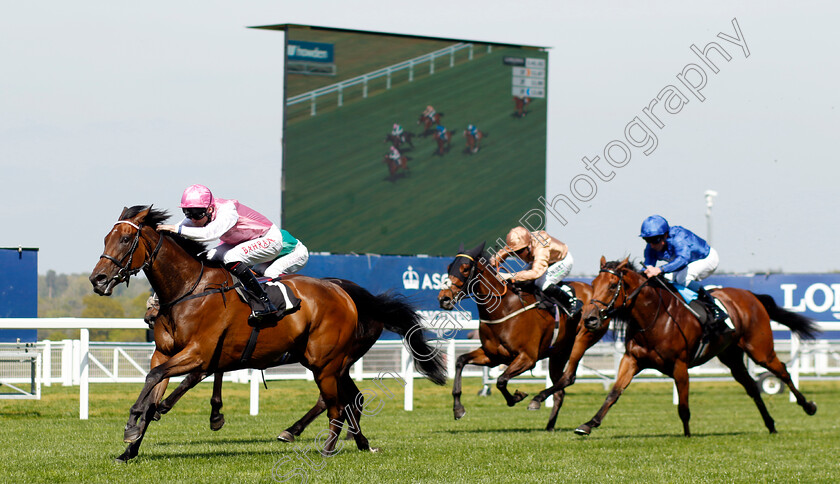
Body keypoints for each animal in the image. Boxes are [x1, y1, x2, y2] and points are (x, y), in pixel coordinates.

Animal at [90, 205, 446, 462]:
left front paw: (132, 423)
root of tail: (344, 292)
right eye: (105, 238)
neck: (188, 289)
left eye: (125, 240)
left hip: (326, 361)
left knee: (335, 403)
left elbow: (156, 382)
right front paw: (130, 448)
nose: (98, 279)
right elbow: (154, 387)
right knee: (350, 399)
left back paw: (324, 446)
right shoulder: (166, 353)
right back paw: (360, 442)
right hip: (332, 361)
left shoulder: (198, 353)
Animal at [440, 242, 612, 432]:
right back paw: (549, 426)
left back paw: (537, 401)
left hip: (581, 341)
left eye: (464, 269)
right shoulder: (493, 356)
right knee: (560, 390)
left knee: (568, 378)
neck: (504, 308)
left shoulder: (528, 358)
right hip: (558, 353)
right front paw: (458, 409)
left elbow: (501, 380)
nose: (443, 298)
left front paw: (517, 397)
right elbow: (460, 361)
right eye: (448, 267)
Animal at [576, 260, 816, 436]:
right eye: (593, 284)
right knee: (751, 387)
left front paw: (687, 434)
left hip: (760, 349)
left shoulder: (680, 365)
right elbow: (614, 392)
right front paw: (588, 424)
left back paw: (808, 406)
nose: (589, 319)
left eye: (612, 285)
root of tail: (751, 295)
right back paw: (770, 424)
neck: (654, 318)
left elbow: (683, 406)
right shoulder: (632, 359)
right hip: (731, 356)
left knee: (782, 371)